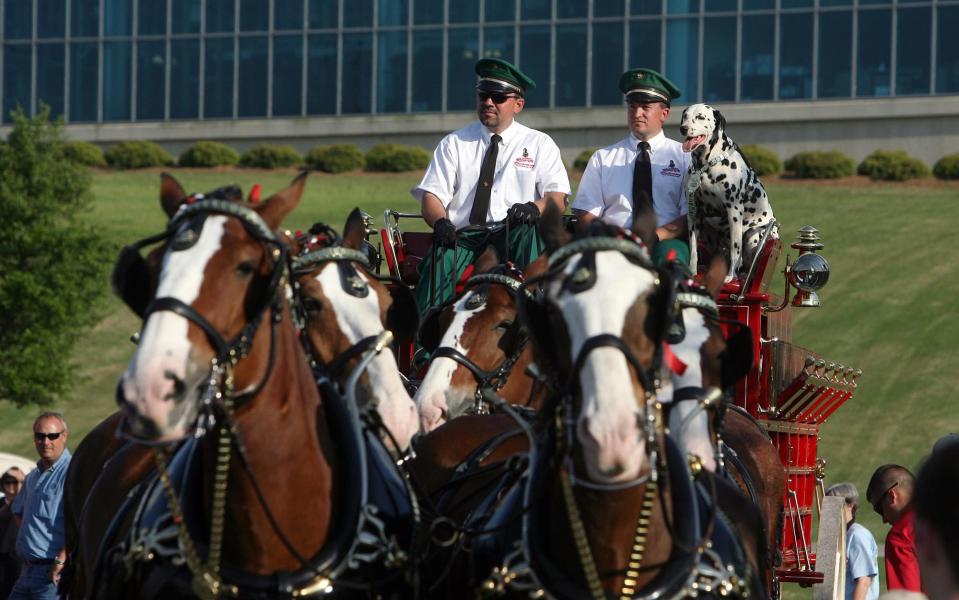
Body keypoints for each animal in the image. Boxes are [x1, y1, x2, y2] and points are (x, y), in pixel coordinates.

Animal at [680, 104, 776, 282]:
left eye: (700, 117)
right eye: (685, 116)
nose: (683, 128)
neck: (707, 164)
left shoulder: (734, 211)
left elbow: (735, 249)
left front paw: (731, 276)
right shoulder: (694, 213)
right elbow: (693, 249)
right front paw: (692, 272)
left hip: (753, 235)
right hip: (708, 232)